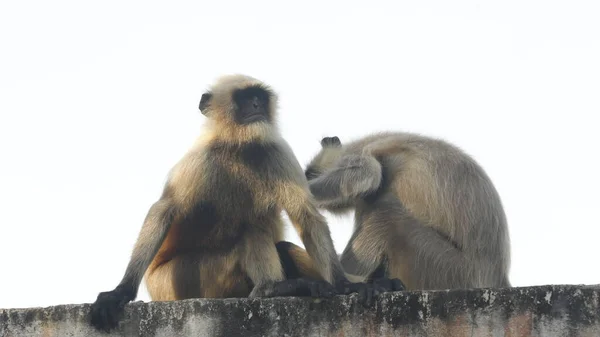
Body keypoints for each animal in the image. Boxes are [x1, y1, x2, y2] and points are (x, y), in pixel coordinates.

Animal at [89, 74, 386, 330]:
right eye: (244, 98)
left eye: (259, 97)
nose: (256, 105)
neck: (240, 146)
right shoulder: (200, 158)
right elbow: (164, 210)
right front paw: (120, 291)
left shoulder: (277, 152)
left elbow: (307, 217)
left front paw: (345, 285)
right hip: (177, 280)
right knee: (251, 229)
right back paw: (272, 289)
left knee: (273, 239)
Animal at [304, 133, 510, 290]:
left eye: (311, 174)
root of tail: (497, 276)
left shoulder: (364, 152)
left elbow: (368, 172)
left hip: (451, 269)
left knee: (385, 211)